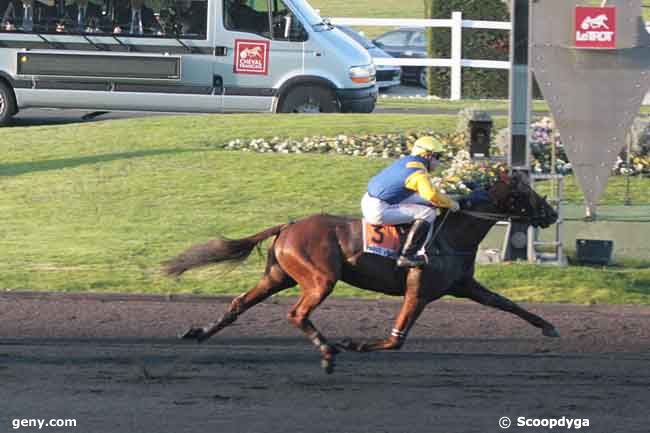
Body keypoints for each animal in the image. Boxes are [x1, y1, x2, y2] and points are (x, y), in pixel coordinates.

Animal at [163, 171, 556, 372]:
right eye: (527, 193)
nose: (552, 213)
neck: (452, 233)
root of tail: (288, 226)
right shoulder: (419, 290)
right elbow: (397, 339)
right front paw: (357, 343)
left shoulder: (464, 284)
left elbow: (506, 303)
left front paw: (548, 326)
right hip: (320, 279)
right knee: (297, 314)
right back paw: (327, 351)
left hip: (278, 276)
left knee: (239, 303)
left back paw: (199, 332)